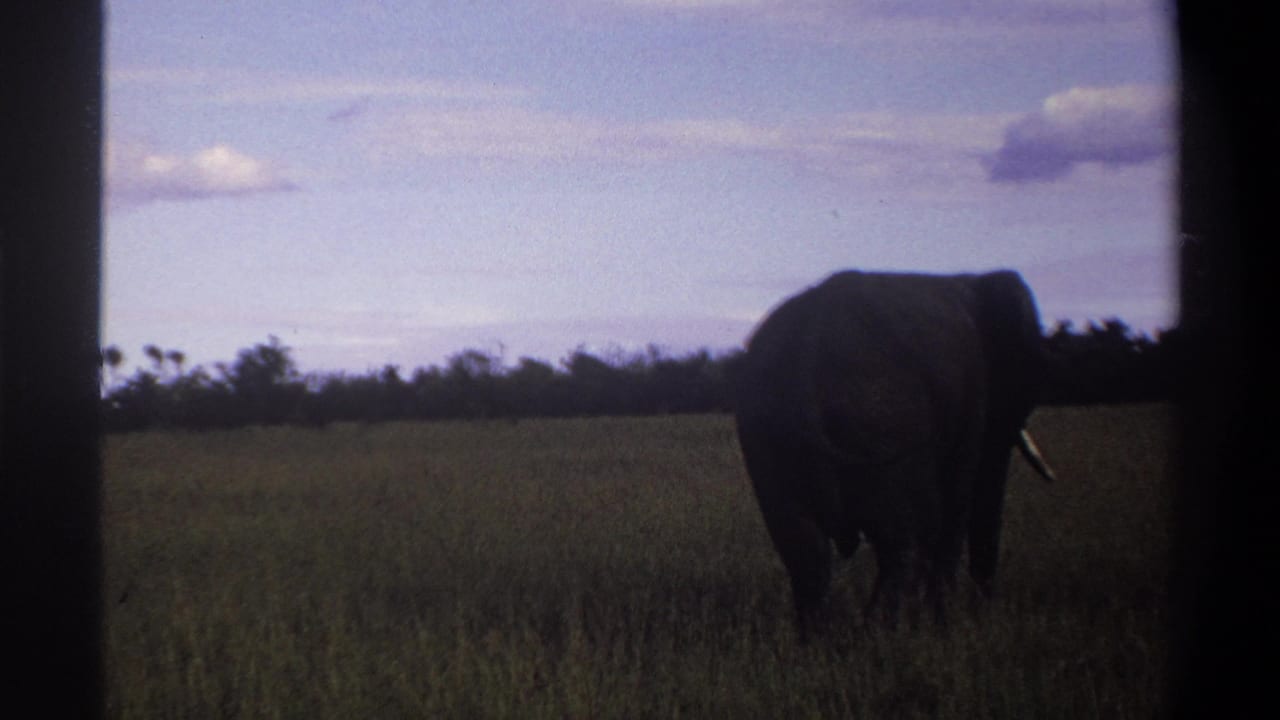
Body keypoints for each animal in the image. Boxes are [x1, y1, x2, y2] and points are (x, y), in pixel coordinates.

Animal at [733, 269, 1055, 629]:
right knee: (901, 544)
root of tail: (808, 348)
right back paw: (884, 633)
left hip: (769, 435)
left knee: (804, 550)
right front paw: (944, 624)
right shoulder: (974, 401)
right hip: (879, 422)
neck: (972, 281)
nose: (985, 608)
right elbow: (959, 500)